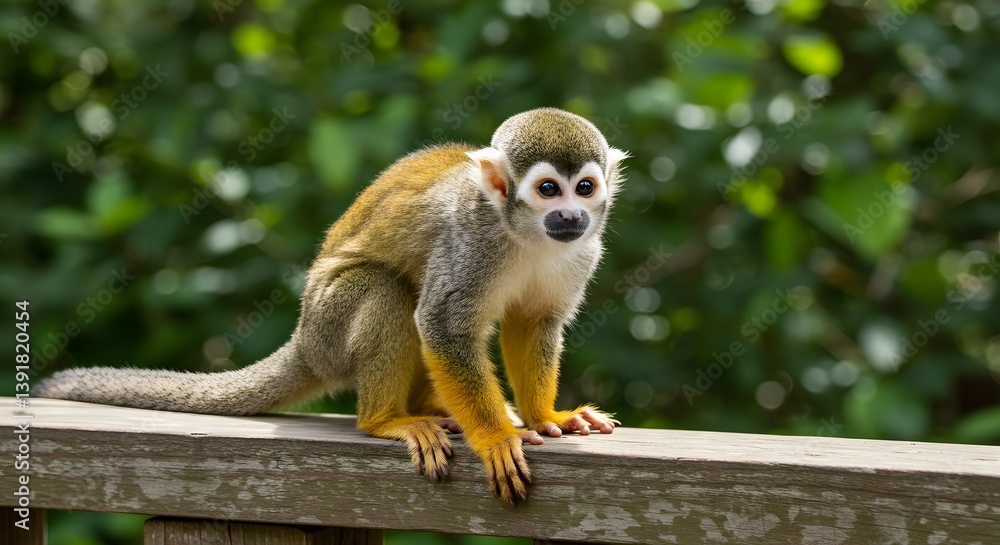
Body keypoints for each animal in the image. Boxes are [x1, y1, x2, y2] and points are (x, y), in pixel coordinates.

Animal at [35, 107, 628, 504]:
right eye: (548, 189)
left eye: (584, 187)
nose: (571, 216)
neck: (525, 233)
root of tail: (303, 340)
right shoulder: (470, 239)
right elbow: (442, 324)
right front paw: (496, 438)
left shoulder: (584, 251)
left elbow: (534, 322)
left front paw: (545, 416)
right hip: (329, 325)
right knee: (385, 291)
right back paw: (387, 420)